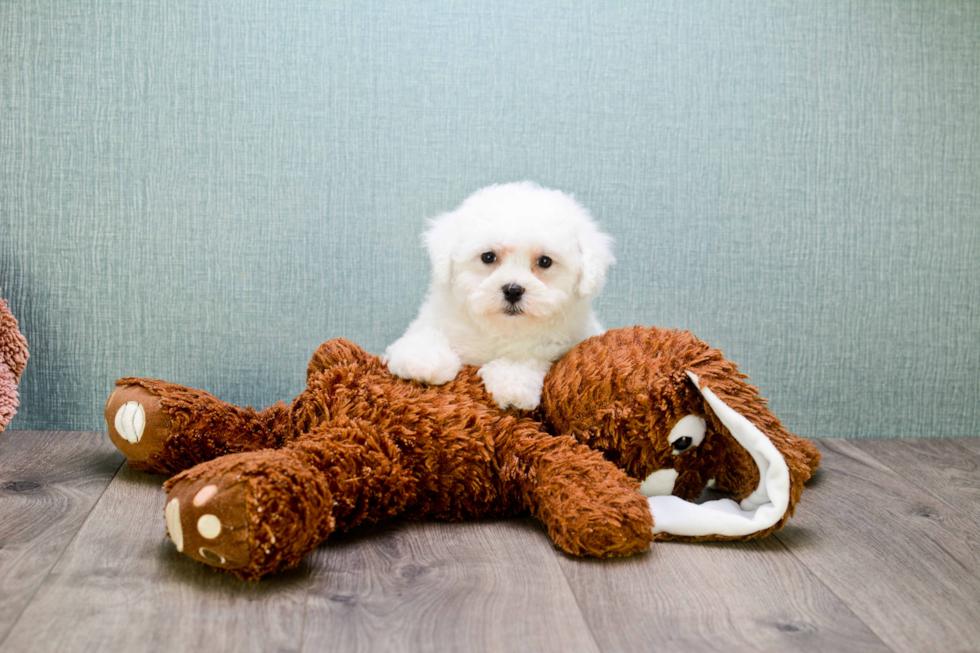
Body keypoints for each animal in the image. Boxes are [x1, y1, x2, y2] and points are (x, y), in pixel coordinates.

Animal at [382, 182, 612, 408]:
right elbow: (427, 332)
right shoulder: (436, 318)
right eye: (488, 257)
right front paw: (423, 359)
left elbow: (529, 356)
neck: (500, 329)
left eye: (545, 261)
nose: (513, 289)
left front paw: (511, 381)